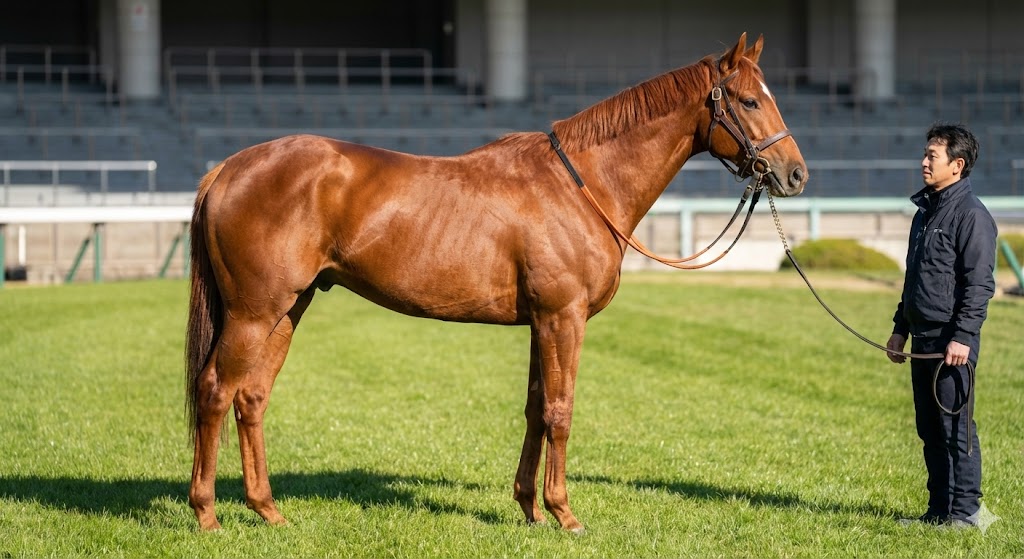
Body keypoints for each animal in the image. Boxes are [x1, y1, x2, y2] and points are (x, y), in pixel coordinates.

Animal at [185, 32, 808, 533]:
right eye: (749, 100)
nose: (796, 174)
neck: (581, 185)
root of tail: (227, 169)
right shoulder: (563, 317)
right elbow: (560, 410)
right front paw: (564, 513)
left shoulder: (542, 322)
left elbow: (535, 408)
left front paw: (531, 509)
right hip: (254, 312)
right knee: (215, 390)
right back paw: (207, 513)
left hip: (288, 309)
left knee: (251, 396)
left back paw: (268, 510)